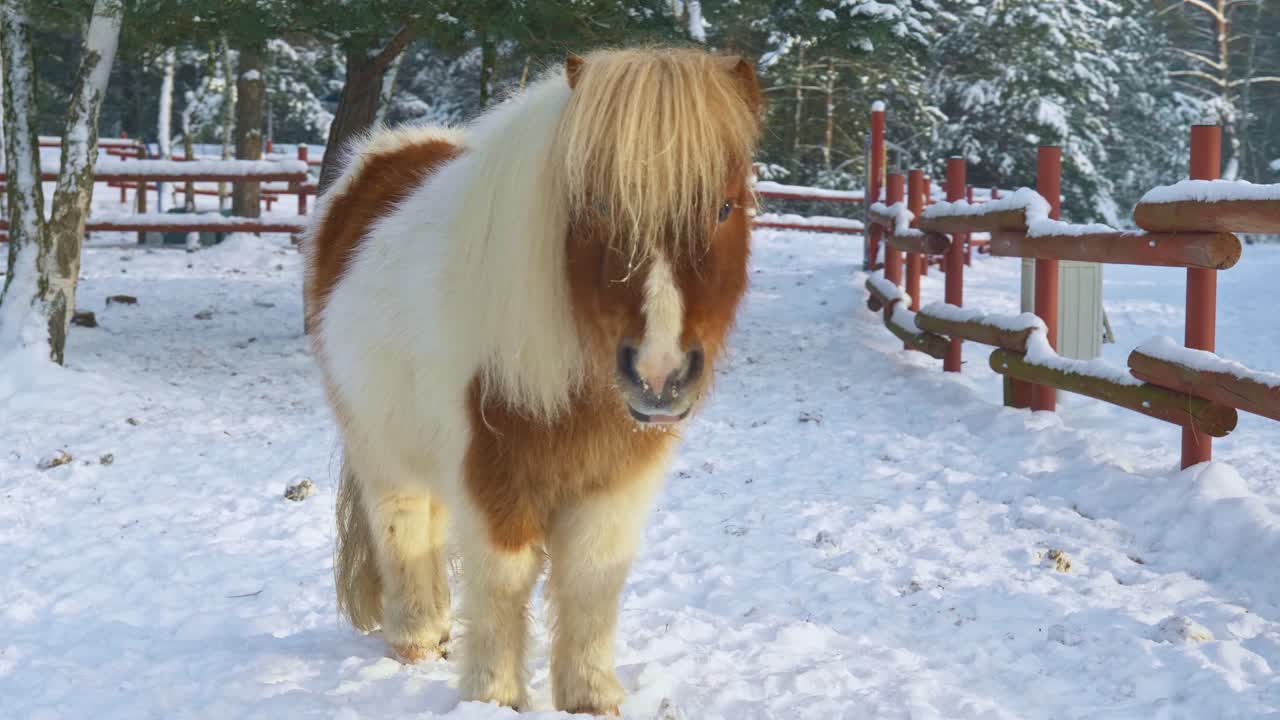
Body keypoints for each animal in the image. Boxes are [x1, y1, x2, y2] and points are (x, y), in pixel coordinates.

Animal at [303, 47, 762, 714]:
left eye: (725, 207)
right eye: (598, 206)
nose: (659, 374)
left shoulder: (614, 480)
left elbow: (592, 580)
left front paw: (590, 695)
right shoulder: (494, 473)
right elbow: (502, 583)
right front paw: (493, 697)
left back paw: (440, 630)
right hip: (380, 447)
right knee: (403, 526)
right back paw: (416, 638)